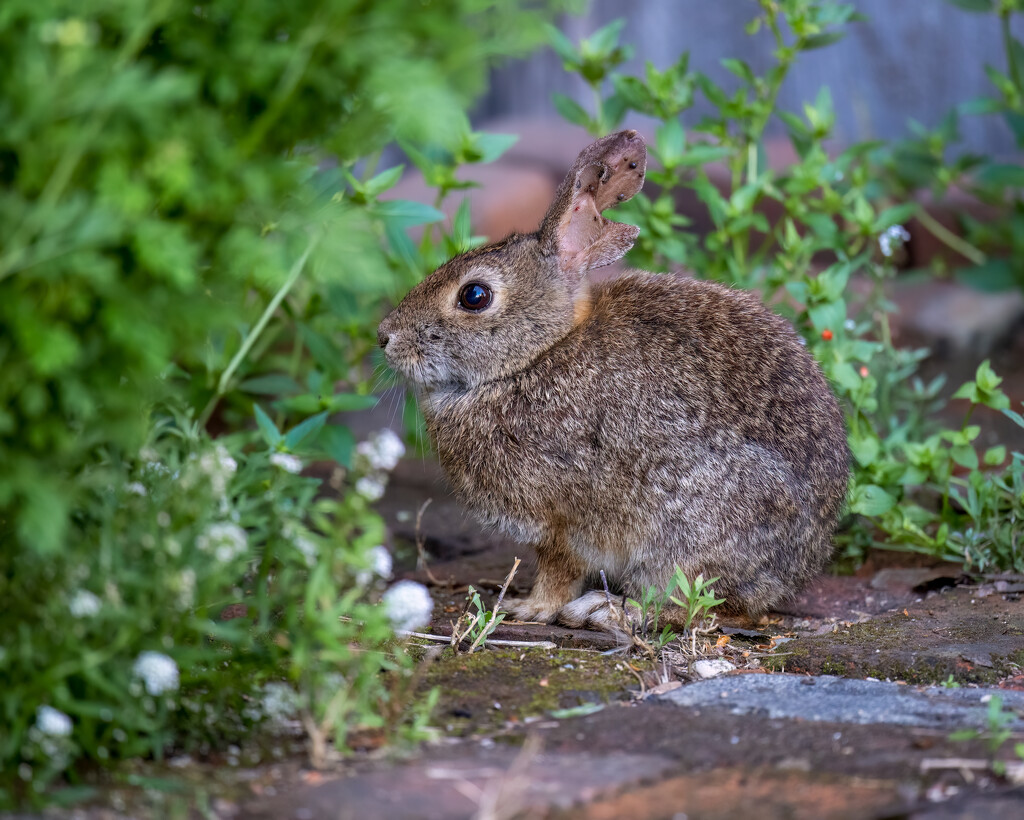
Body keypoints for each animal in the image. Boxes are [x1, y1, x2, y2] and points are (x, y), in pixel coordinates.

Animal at [376, 129, 847, 634]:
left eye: (474, 296)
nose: (384, 336)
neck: (534, 357)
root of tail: (793, 570)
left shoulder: (562, 521)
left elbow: (559, 570)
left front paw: (529, 609)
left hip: (686, 531)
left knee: (696, 604)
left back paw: (608, 611)